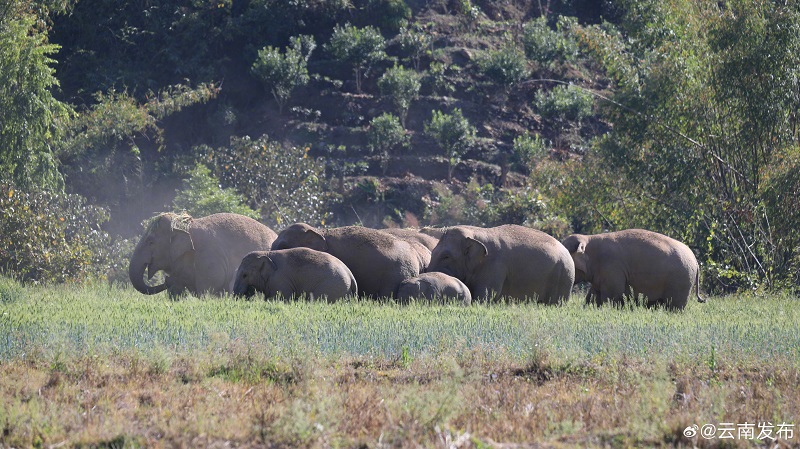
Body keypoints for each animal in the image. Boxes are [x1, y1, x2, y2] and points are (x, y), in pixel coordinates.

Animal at [560, 229, 704, 310]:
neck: (588, 238)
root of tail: (696, 261)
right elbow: (596, 295)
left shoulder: (612, 268)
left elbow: (612, 296)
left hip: (681, 280)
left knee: (675, 305)